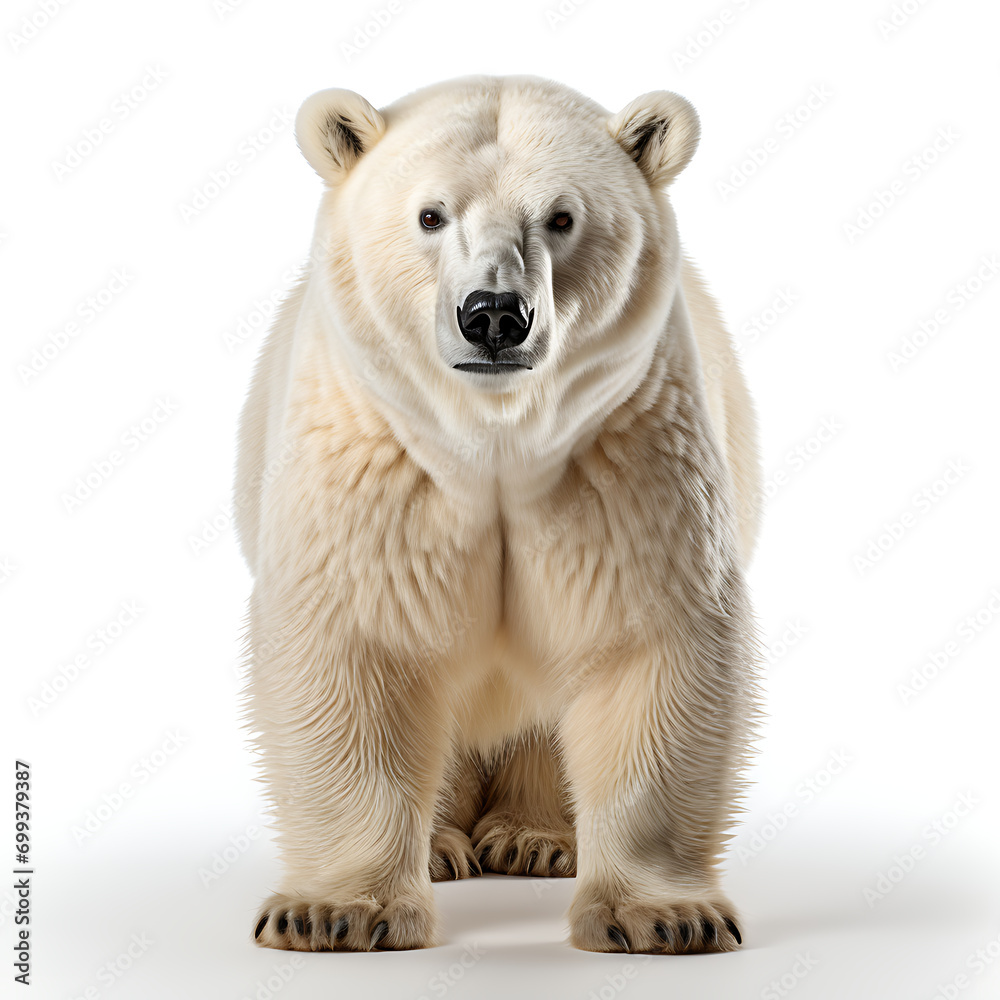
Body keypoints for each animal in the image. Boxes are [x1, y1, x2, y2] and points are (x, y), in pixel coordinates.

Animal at [234, 74, 762, 955]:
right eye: (430, 215)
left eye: (561, 217)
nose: (493, 315)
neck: (496, 437)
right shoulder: (377, 456)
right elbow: (357, 642)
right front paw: (334, 912)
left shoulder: (619, 451)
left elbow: (645, 640)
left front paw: (663, 916)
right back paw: (445, 845)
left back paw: (532, 837)